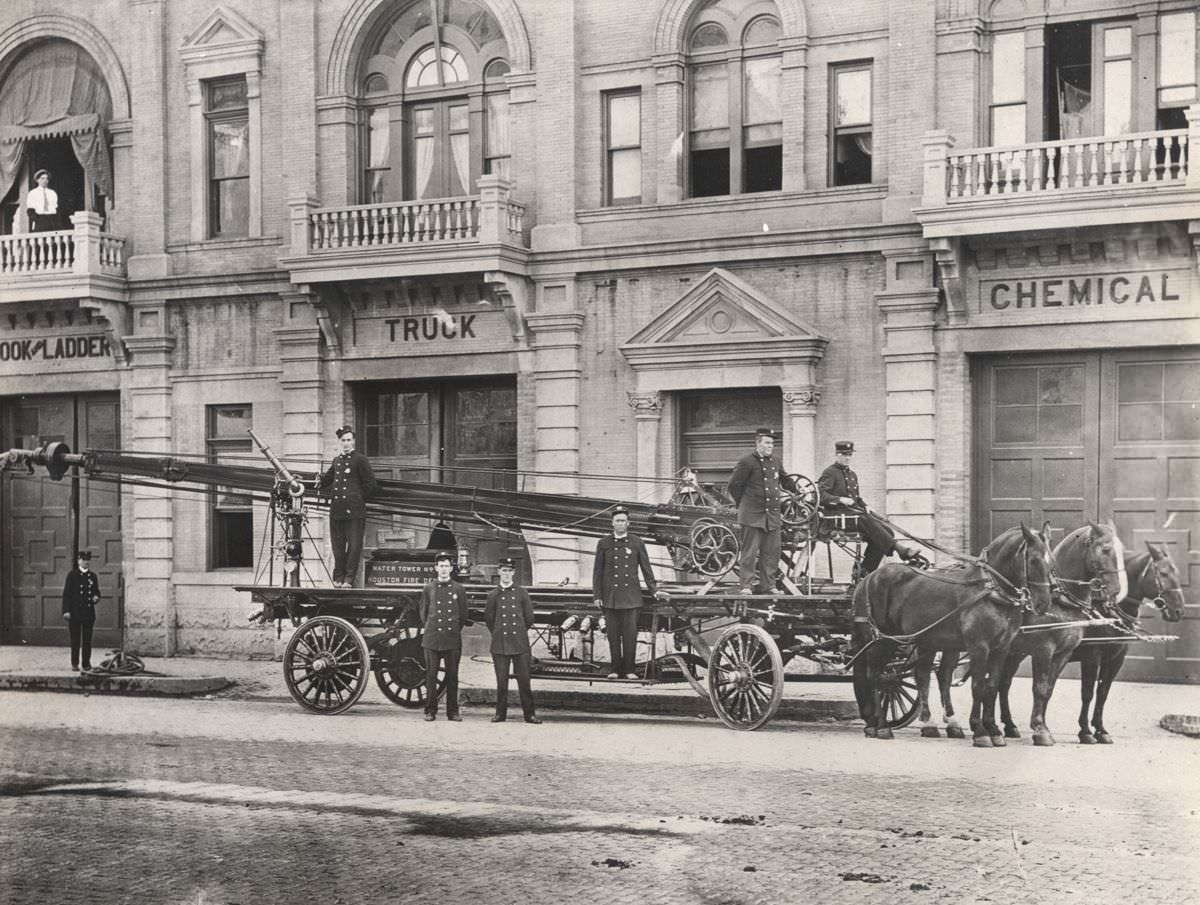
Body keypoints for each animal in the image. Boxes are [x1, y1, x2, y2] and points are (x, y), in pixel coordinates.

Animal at [854, 520, 1051, 748]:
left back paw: (884, 724)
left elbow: (991, 686)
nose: (1043, 604)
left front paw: (993, 729)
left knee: (921, 676)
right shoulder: (979, 647)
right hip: (881, 640)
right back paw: (882, 726)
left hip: (919, 640)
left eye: (1051, 561)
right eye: (1034, 560)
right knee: (877, 676)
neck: (992, 589)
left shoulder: (1001, 648)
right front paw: (980, 731)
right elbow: (978, 686)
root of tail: (869, 577)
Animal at [993, 518, 1123, 744]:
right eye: (1106, 550)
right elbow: (1039, 687)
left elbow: (1048, 689)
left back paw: (1008, 726)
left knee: (1003, 682)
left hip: (1014, 652)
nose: (1116, 590)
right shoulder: (1044, 651)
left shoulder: (1063, 653)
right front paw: (1040, 730)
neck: (1061, 600)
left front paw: (1043, 725)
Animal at [1075, 540, 1185, 744]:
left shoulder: (1116, 657)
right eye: (1163, 573)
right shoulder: (1091, 656)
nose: (1179, 611)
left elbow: (1103, 692)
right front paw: (1085, 731)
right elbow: (1087, 693)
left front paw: (1100, 730)